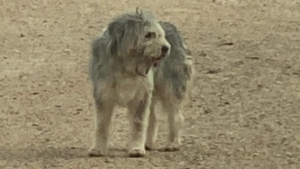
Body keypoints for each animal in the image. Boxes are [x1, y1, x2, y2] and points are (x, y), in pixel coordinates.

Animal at [88, 7, 193, 157]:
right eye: (148, 35)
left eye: (161, 35)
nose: (166, 48)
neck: (126, 66)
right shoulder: (104, 96)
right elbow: (101, 125)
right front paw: (97, 148)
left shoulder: (140, 96)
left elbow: (138, 124)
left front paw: (136, 148)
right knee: (153, 119)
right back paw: (148, 143)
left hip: (171, 89)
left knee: (175, 117)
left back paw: (172, 143)